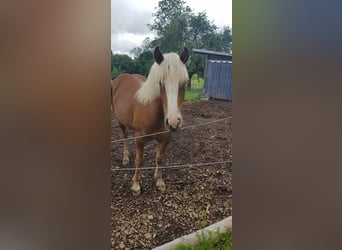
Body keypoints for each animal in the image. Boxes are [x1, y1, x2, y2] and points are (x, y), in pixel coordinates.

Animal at [111, 46, 190, 195]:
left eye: (184, 83)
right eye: (161, 84)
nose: (173, 123)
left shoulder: (165, 139)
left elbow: (160, 159)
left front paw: (159, 181)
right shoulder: (140, 140)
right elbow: (139, 161)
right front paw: (136, 185)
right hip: (120, 121)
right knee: (124, 137)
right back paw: (125, 158)